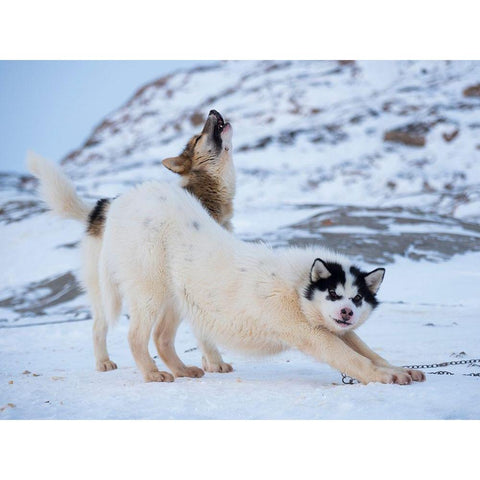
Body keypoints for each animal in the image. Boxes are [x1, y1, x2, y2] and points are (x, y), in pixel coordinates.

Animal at [29, 159, 424, 388]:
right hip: (148, 291)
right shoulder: (312, 334)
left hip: (177, 299)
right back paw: (151, 373)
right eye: (332, 293)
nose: (346, 311)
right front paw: (386, 376)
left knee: (161, 338)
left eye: (356, 298)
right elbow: (354, 359)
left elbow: (367, 350)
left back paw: (183, 370)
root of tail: (124, 200)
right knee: (135, 336)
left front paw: (401, 368)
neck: (298, 288)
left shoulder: (337, 330)